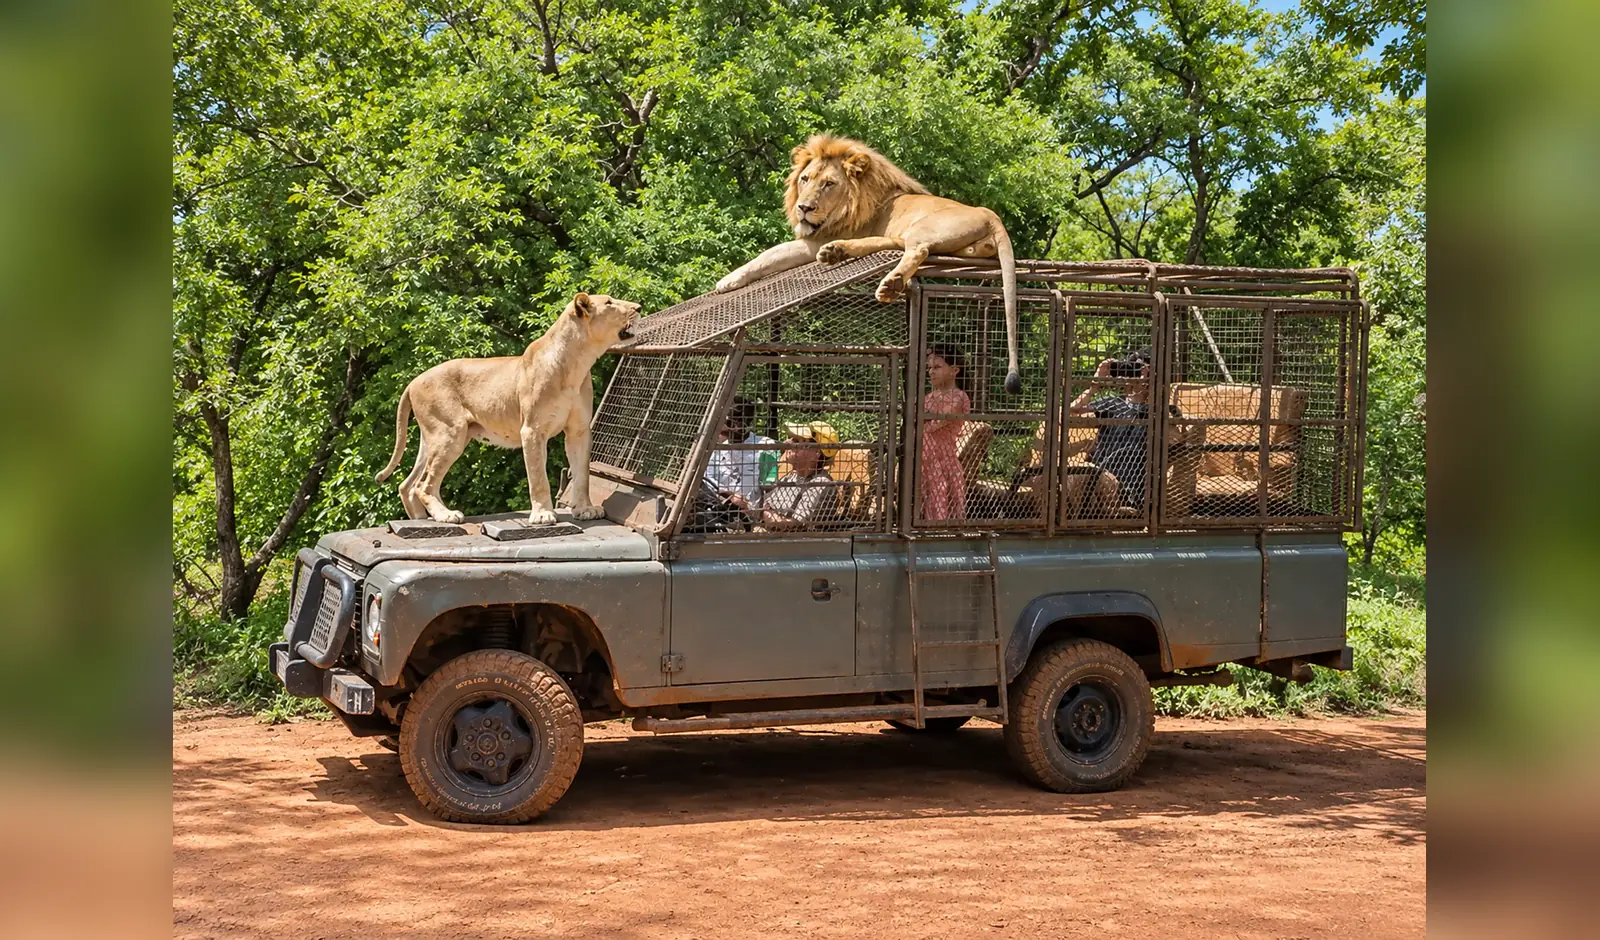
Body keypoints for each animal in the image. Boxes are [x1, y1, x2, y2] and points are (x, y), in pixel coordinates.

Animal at [375, 293, 641, 526]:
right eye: (609, 302)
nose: (639, 307)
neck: (577, 363)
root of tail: (413, 381)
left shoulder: (579, 430)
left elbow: (582, 474)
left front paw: (585, 509)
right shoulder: (532, 430)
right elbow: (538, 477)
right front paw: (543, 515)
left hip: (432, 438)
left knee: (408, 485)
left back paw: (422, 519)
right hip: (449, 433)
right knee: (423, 485)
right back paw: (446, 516)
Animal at [715, 134, 1023, 392]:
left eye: (828, 184)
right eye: (805, 179)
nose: (804, 208)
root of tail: (991, 215)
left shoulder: (815, 239)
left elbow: (769, 254)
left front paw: (728, 280)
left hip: (922, 228)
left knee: (917, 251)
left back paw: (887, 283)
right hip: (912, 234)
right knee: (891, 244)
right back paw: (836, 253)